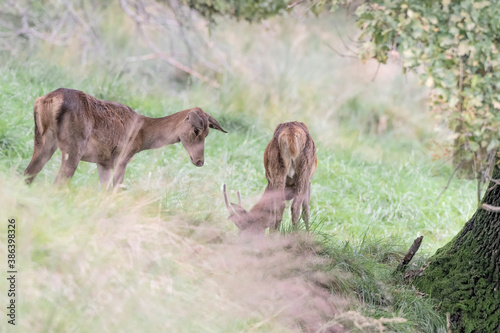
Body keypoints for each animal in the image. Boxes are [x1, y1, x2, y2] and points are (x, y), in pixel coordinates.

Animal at [23, 87, 227, 187]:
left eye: (208, 132)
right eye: (196, 131)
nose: (200, 161)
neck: (142, 135)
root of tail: (48, 100)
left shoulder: (103, 162)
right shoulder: (122, 157)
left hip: (43, 140)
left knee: (28, 174)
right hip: (73, 147)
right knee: (58, 182)